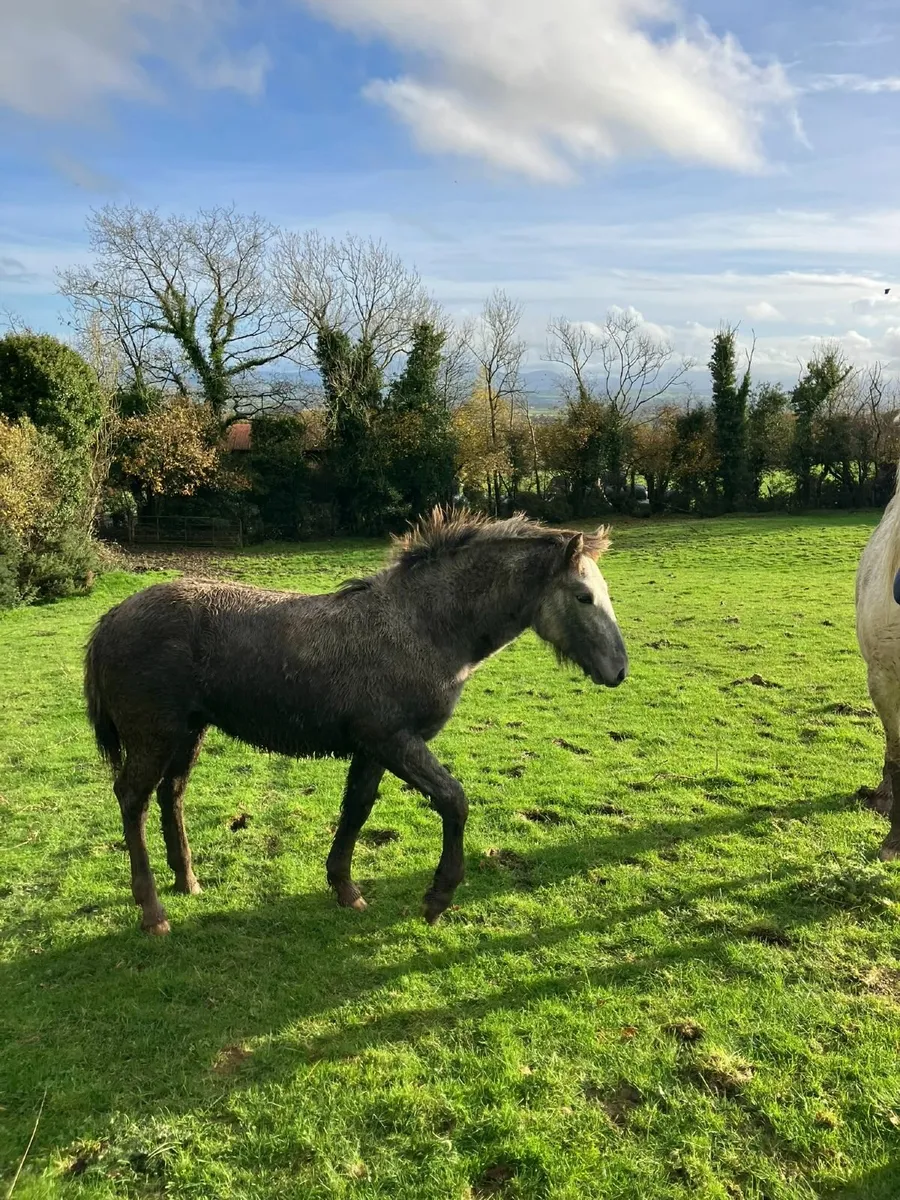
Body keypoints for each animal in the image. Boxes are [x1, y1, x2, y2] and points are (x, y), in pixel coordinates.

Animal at [84, 509, 629, 934]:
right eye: (583, 596)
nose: (619, 670)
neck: (423, 626)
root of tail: (111, 616)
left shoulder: (372, 747)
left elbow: (357, 810)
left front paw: (345, 888)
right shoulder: (392, 738)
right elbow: (453, 800)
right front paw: (437, 899)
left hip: (189, 732)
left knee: (170, 794)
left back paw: (188, 881)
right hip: (154, 735)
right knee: (132, 799)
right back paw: (153, 911)